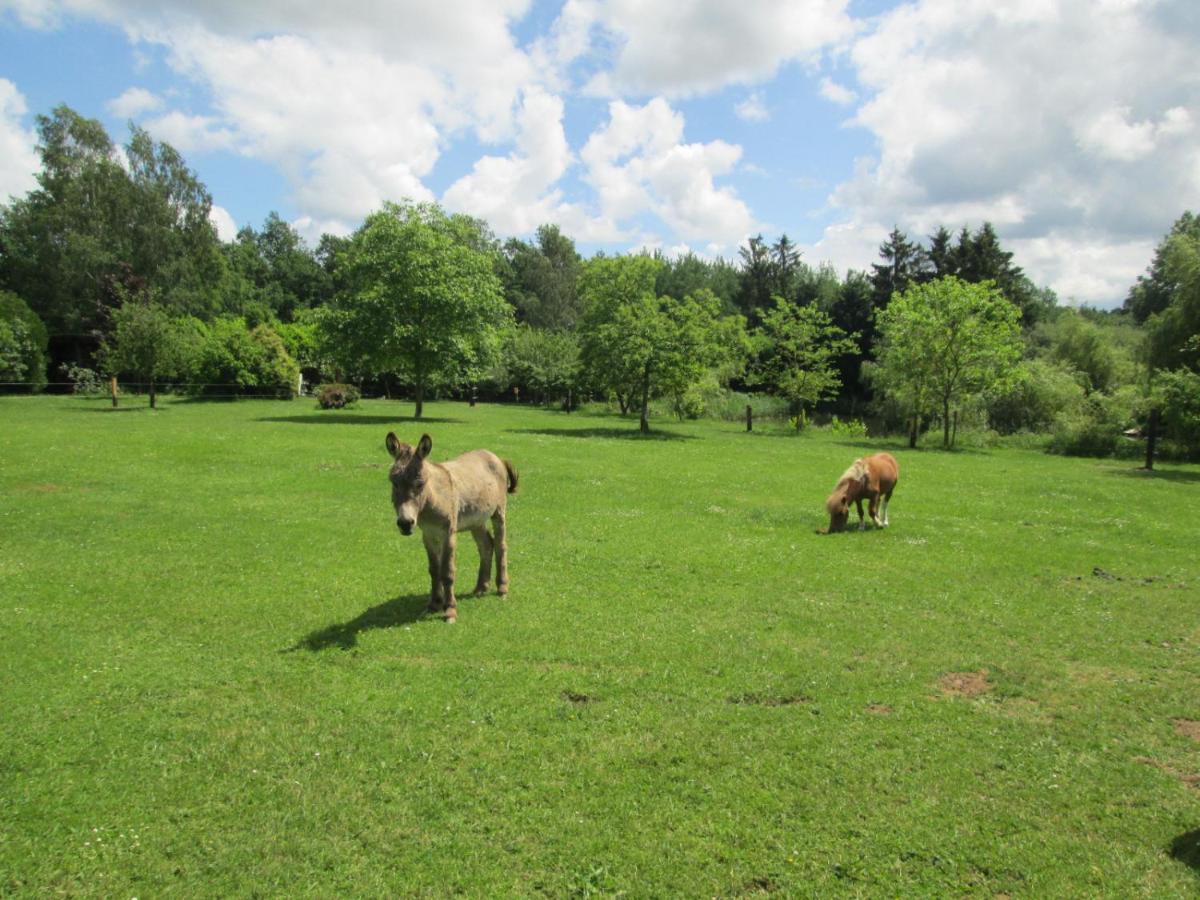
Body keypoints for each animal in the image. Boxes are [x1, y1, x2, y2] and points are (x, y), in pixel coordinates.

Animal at [384, 434, 516, 624]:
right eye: (393, 483)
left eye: (420, 484)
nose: (405, 523)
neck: (432, 499)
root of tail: (494, 456)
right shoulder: (429, 535)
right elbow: (434, 570)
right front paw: (434, 605)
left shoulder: (448, 534)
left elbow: (447, 572)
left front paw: (450, 610)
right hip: (476, 520)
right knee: (486, 546)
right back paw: (481, 588)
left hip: (498, 512)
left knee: (500, 546)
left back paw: (502, 588)